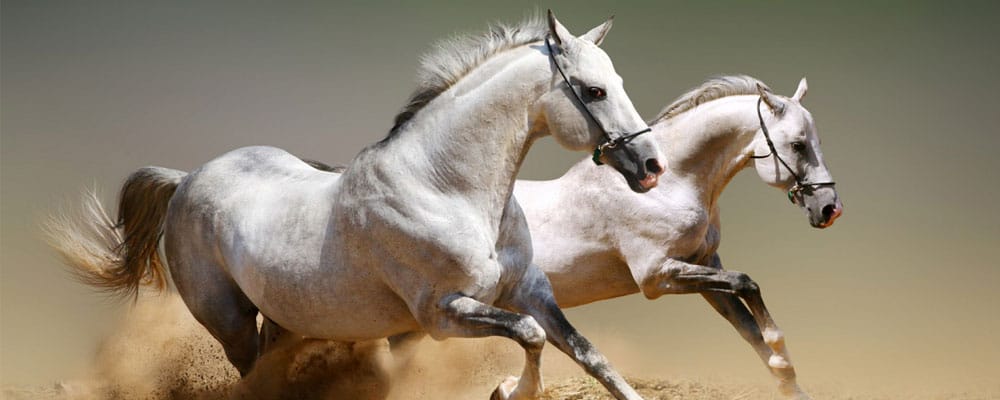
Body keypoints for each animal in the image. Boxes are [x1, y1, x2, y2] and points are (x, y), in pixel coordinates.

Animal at [46, 12, 665, 400]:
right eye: (593, 91)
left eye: (617, 80)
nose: (651, 166)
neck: (445, 188)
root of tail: (186, 180)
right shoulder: (443, 314)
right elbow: (532, 337)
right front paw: (506, 390)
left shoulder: (529, 291)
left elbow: (588, 354)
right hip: (229, 321)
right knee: (250, 378)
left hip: (284, 320)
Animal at [511, 76, 841, 399]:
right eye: (798, 145)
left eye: (818, 142)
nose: (830, 209)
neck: (669, 186)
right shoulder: (656, 276)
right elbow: (746, 283)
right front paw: (780, 353)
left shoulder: (705, 265)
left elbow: (747, 326)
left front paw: (789, 384)